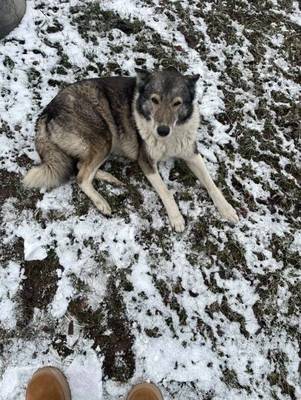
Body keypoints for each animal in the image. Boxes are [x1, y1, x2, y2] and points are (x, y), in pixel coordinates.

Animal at [23, 68, 238, 231]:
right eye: (155, 100)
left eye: (177, 103)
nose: (162, 130)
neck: (169, 139)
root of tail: (46, 111)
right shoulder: (146, 161)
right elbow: (165, 191)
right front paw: (176, 218)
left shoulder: (192, 154)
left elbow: (212, 184)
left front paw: (227, 209)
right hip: (104, 138)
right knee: (81, 177)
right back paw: (101, 202)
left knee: (79, 166)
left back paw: (109, 177)